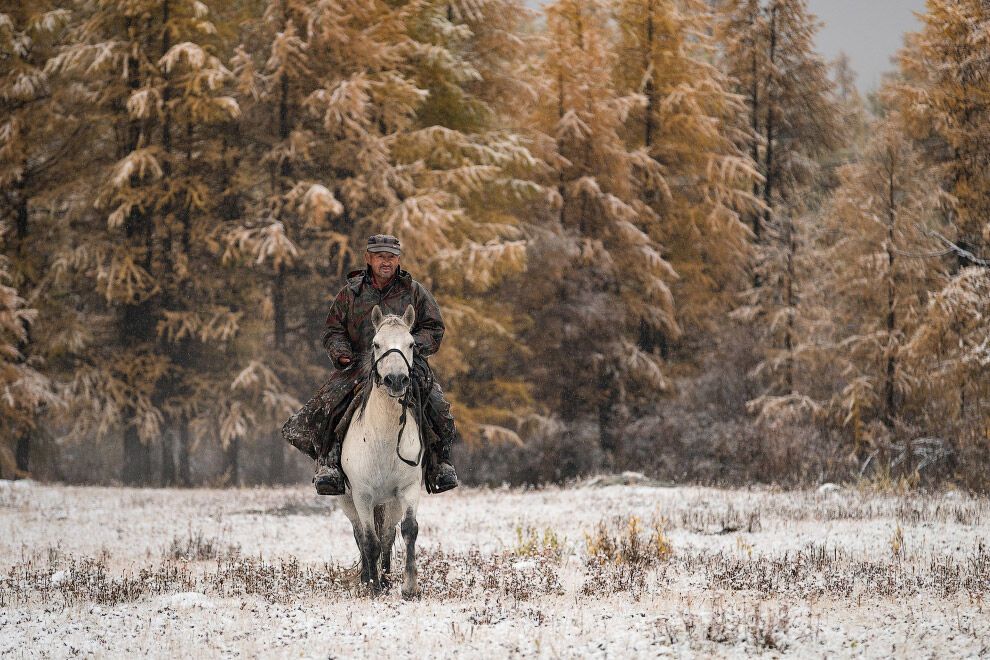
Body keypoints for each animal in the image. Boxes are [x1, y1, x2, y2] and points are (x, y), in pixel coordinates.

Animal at [338, 304, 422, 600]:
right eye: (376, 344)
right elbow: (368, 541)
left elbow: (408, 531)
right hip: (348, 501)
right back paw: (368, 579)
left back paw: (385, 579)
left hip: (390, 503)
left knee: (386, 535)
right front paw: (372, 587)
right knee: (360, 535)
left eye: (411, 344)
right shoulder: (362, 495)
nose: (396, 380)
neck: (383, 439)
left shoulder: (408, 489)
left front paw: (409, 587)